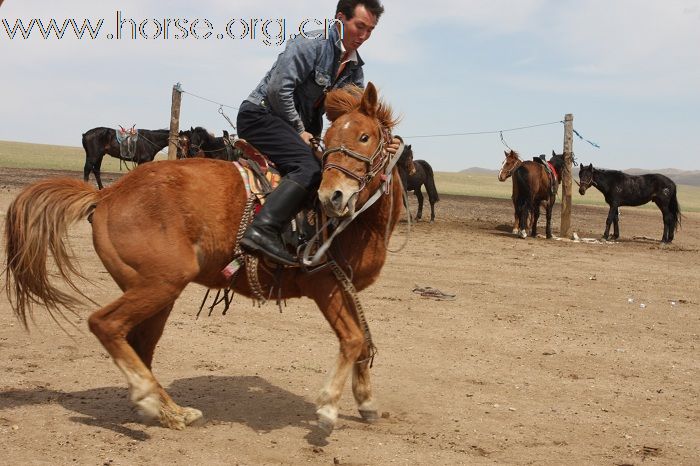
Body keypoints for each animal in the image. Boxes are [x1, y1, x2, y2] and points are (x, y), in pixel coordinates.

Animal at [4, 83, 400, 434]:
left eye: (365, 137)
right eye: (329, 140)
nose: (332, 196)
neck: (359, 223)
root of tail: (107, 196)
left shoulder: (344, 283)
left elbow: (364, 340)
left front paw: (366, 401)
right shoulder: (322, 281)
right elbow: (352, 338)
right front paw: (328, 408)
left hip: (155, 292)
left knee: (139, 345)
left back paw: (167, 411)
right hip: (162, 283)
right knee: (106, 324)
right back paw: (152, 401)